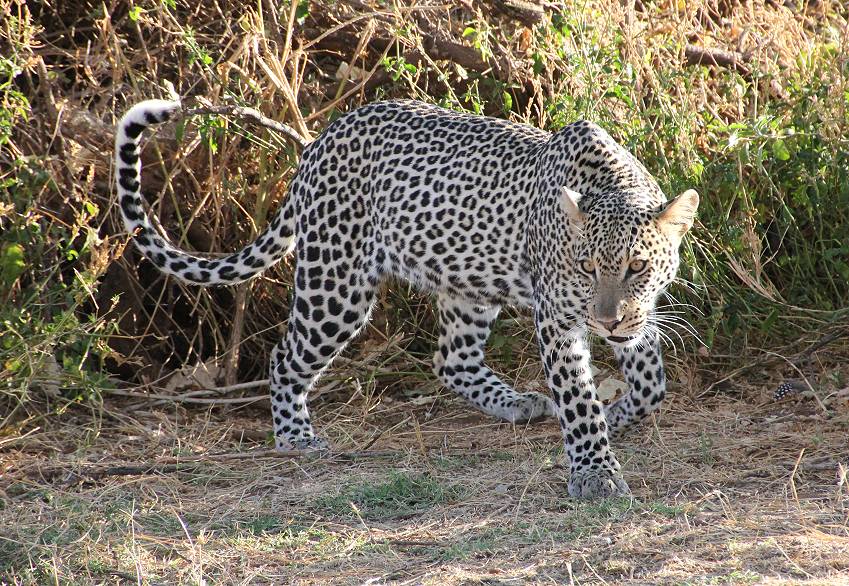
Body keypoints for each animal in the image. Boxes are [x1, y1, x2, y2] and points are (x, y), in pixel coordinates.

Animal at [112, 97, 696, 498]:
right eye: (585, 267)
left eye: (638, 267)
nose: (609, 323)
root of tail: (318, 143)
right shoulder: (557, 316)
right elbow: (577, 398)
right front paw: (595, 471)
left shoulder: (635, 319)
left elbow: (650, 384)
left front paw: (616, 415)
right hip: (336, 284)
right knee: (285, 357)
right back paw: (297, 439)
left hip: (467, 280)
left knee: (451, 359)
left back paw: (516, 403)